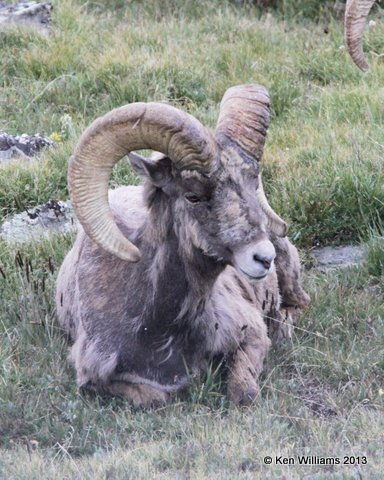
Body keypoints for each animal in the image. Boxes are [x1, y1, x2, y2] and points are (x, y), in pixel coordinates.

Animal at [56, 83, 308, 404]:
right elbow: (158, 397)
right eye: (193, 196)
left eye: (253, 186)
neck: (158, 328)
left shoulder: (252, 336)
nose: (264, 258)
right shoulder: (97, 380)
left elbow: (243, 392)